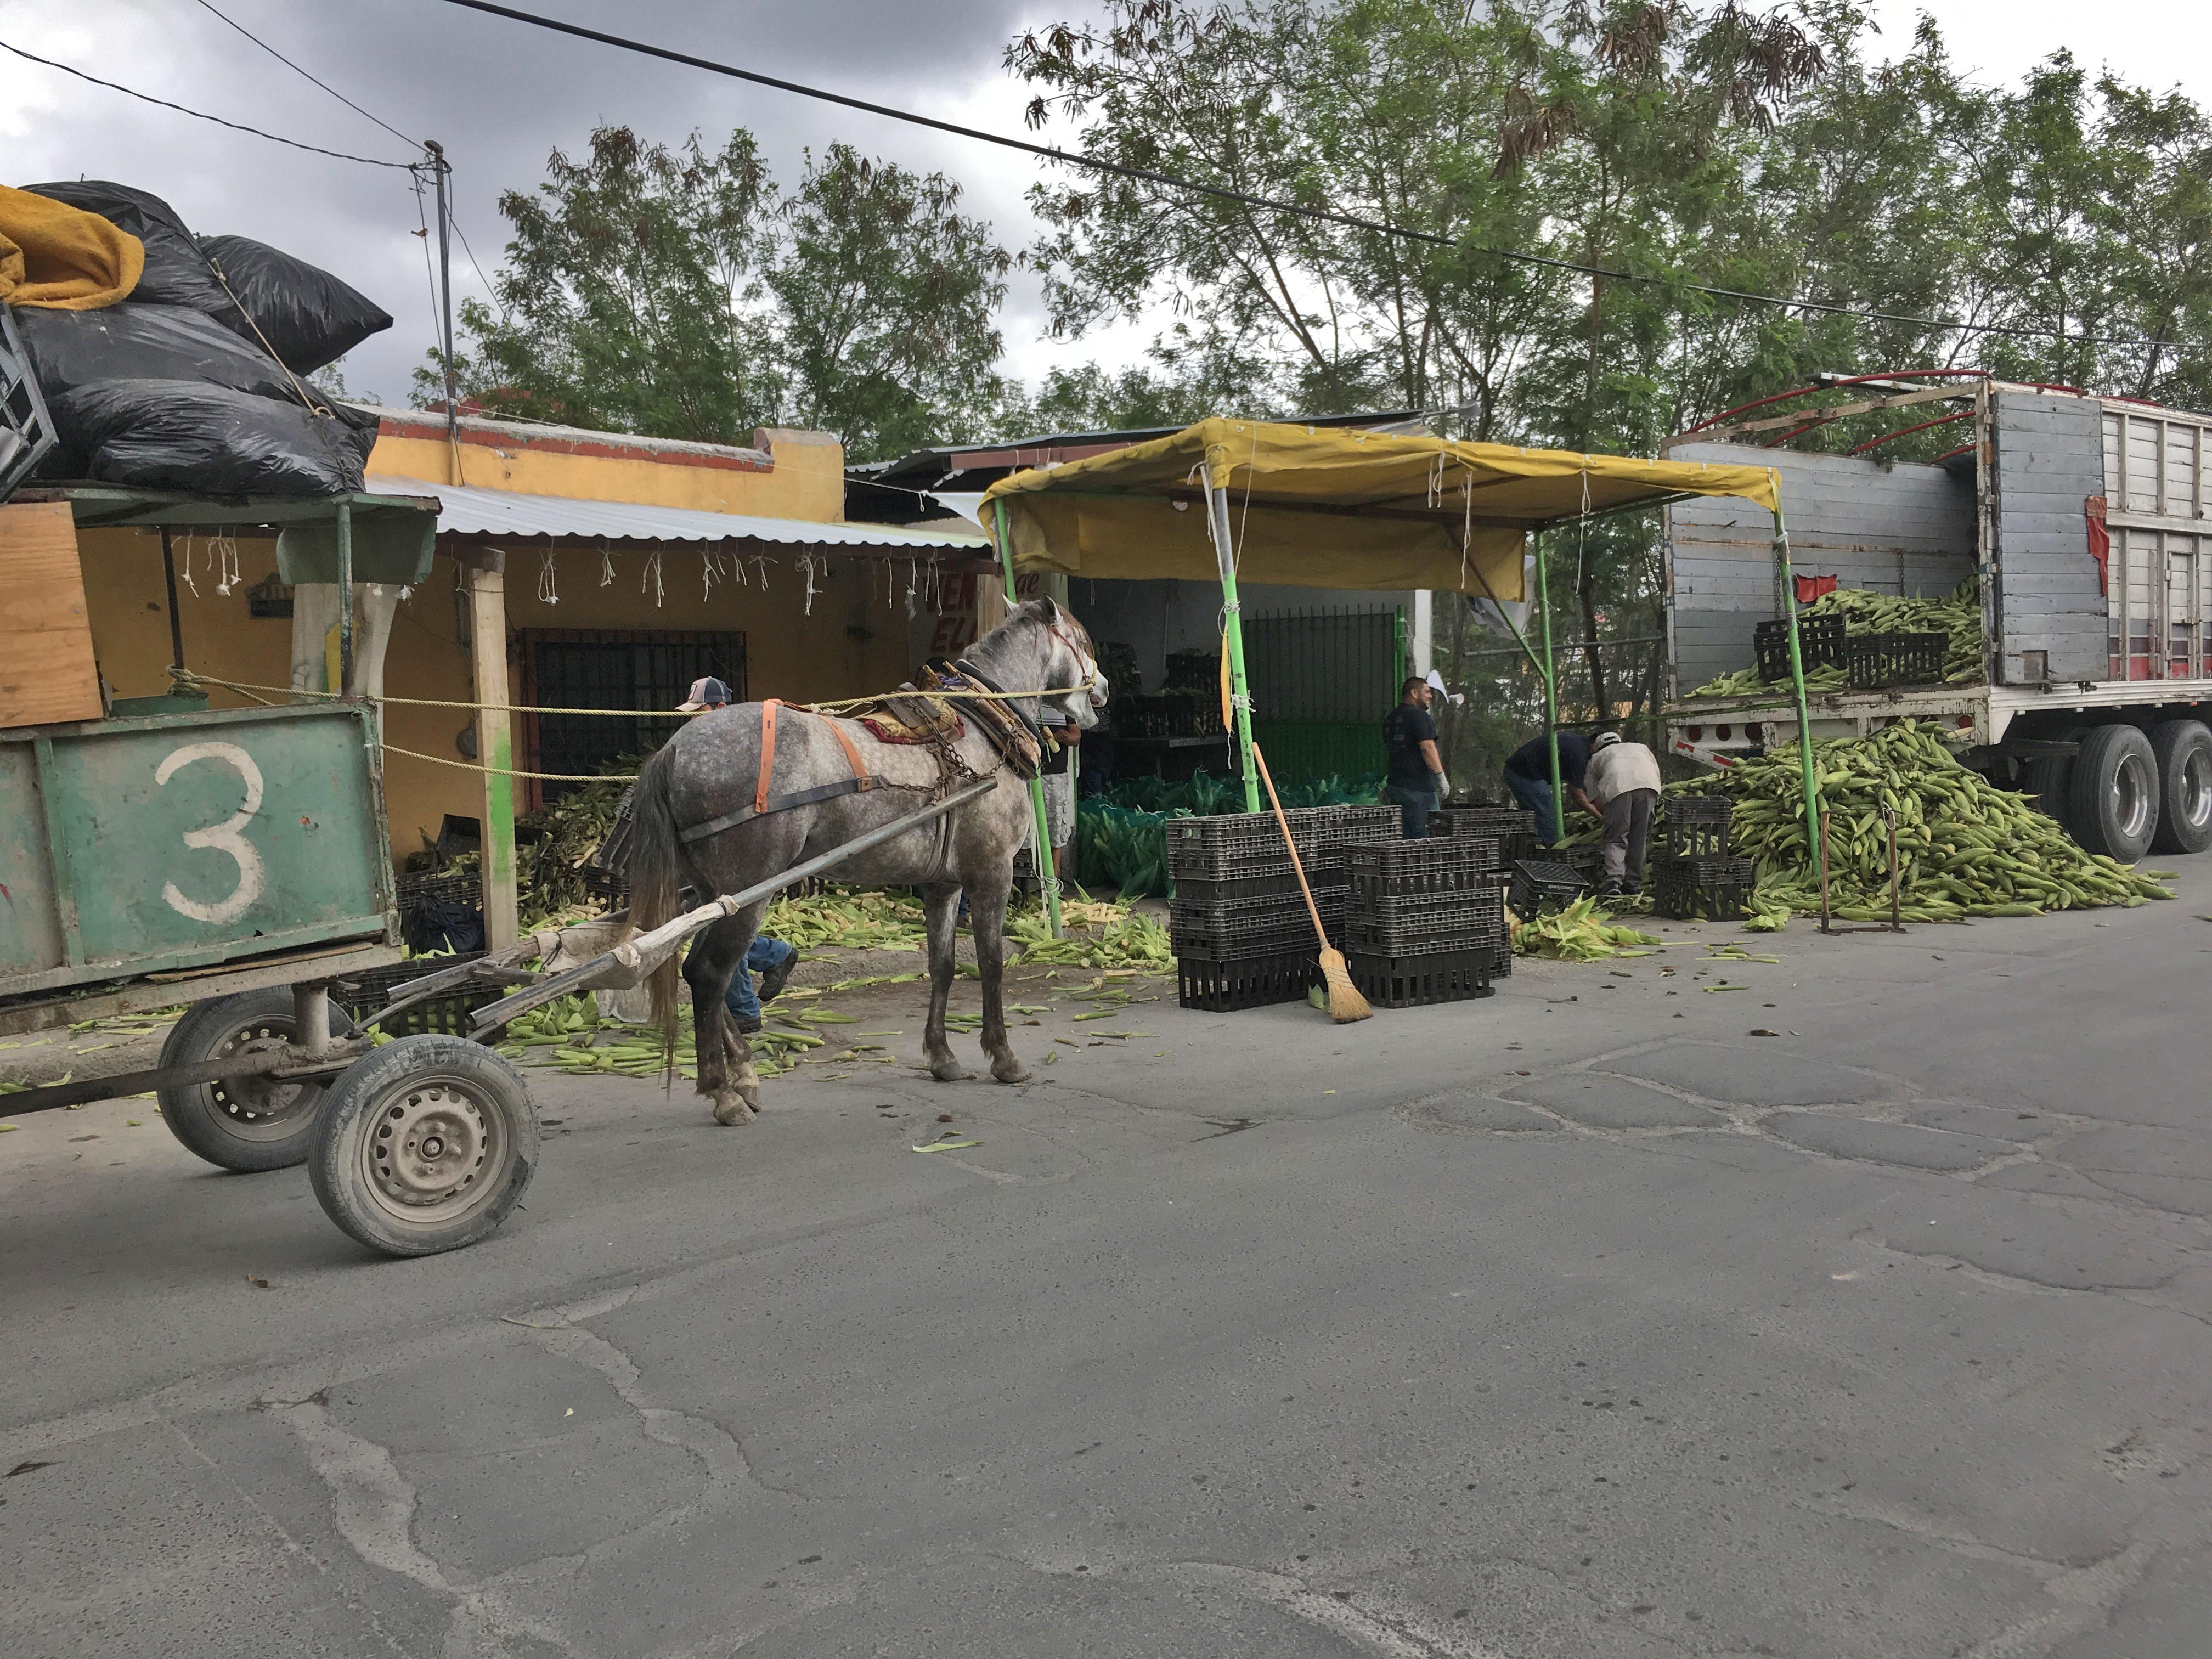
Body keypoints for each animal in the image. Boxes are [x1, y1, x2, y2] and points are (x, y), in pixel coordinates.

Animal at [624, 601, 1106, 1132]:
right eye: (1084, 641)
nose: (1104, 688)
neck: (986, 724)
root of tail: (675, 750)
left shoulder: (943, 884)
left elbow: (942, 965)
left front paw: (942, 1057)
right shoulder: (992, 872)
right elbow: (992, 963)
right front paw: (1003, 1057)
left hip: (712, 894)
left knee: (698, 971)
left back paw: (745, 1076)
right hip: (747, 893)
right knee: (711, 975)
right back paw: (724, 1093)